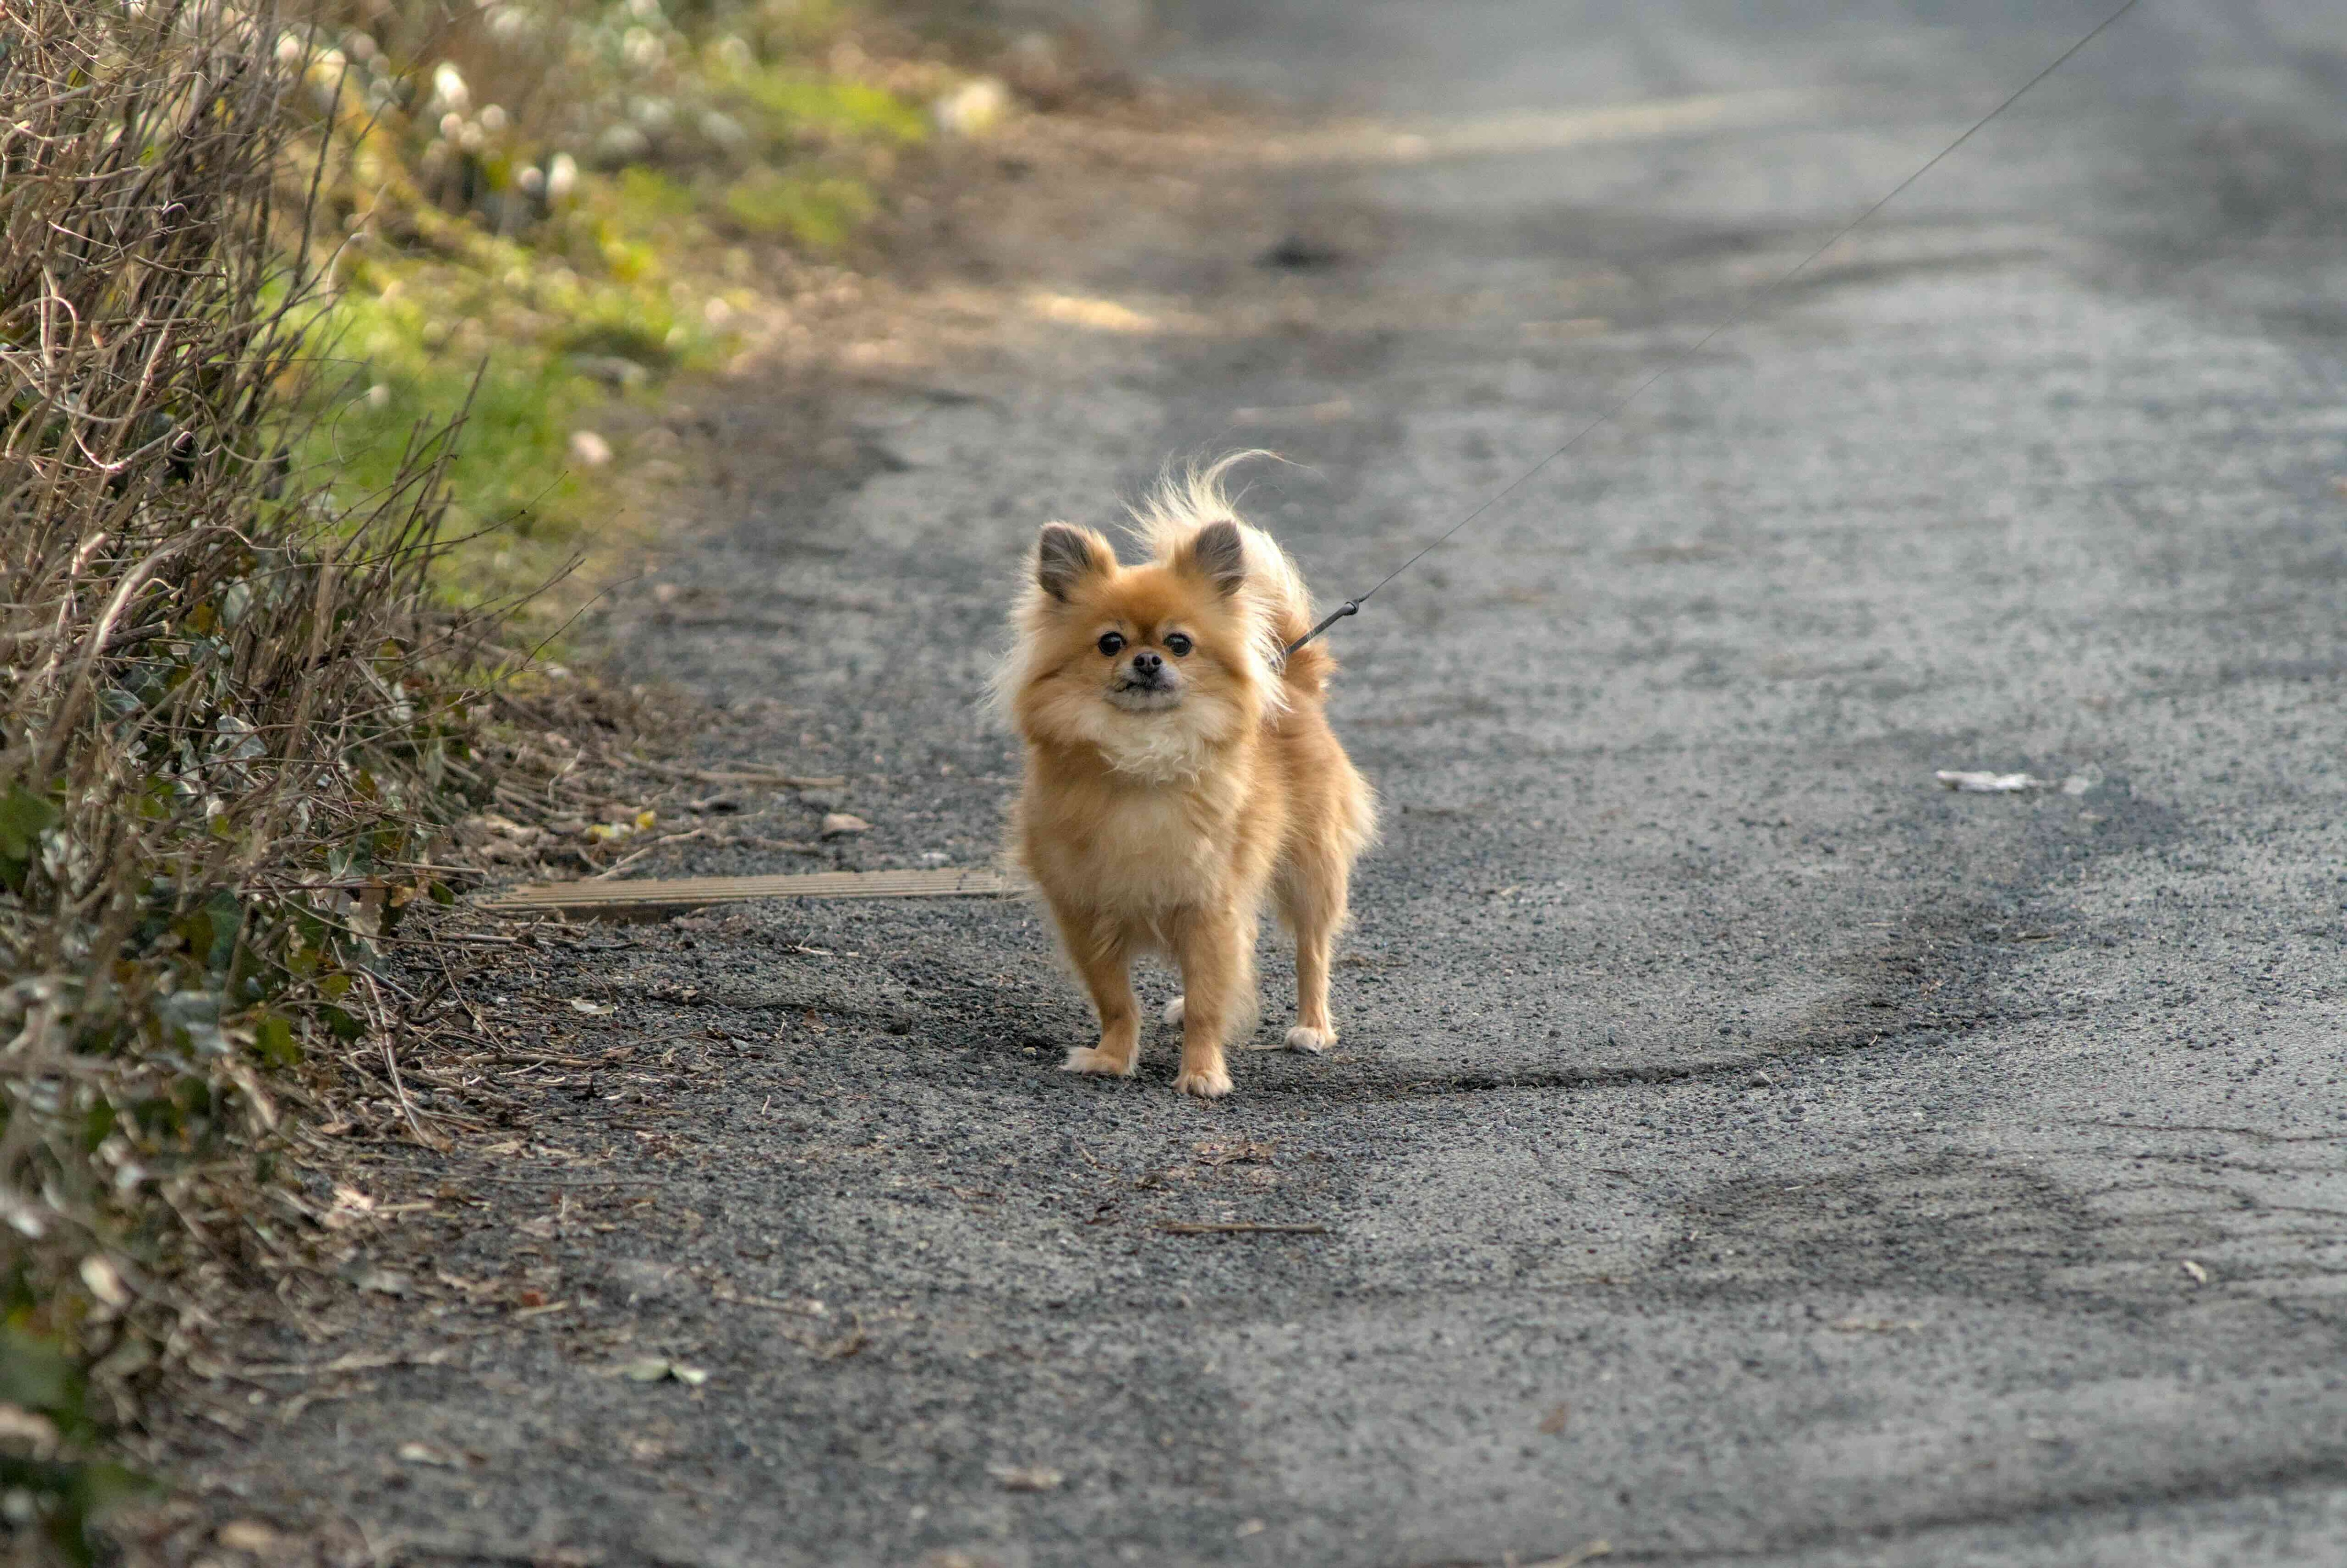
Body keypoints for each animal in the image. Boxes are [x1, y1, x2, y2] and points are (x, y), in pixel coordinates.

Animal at [995, 465, 1371, 1098]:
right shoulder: (1085, 912)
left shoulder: (1209, 906)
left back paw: (1312, 1027)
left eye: (1179, 643)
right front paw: (1111, 1057)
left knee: (1311, 952)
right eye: (1110, 643)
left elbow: (1207, 1001)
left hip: (1310, 872)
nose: (1148, 660)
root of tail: (1292, 677)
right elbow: (1116, 999)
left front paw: (1201, 1072)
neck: (1143, 757)